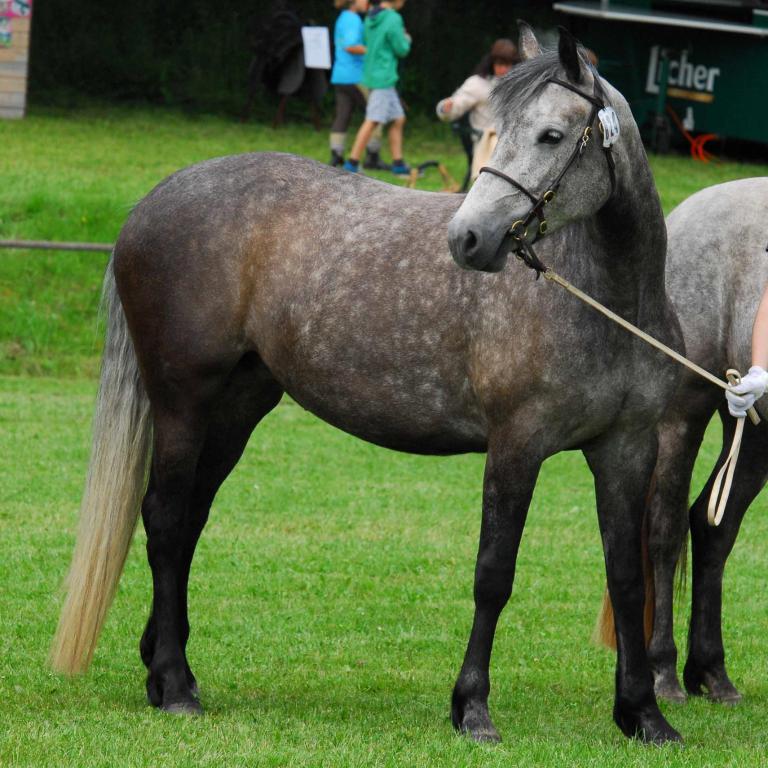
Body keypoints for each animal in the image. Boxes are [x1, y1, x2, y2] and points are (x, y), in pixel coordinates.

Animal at [50, 24, 683, 744]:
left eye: (552, 135)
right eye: (494, 130)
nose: (469, 239)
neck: (605, 297)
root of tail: (148, 206)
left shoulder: (625, 449)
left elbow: (628, 579)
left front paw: (643, 713)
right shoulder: (516, 446)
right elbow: (494, 575)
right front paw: (472, 708)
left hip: (236, 409)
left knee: (188, 520)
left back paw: (163, 666)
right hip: (183, 402)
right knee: (163, 517)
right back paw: (176, 684)